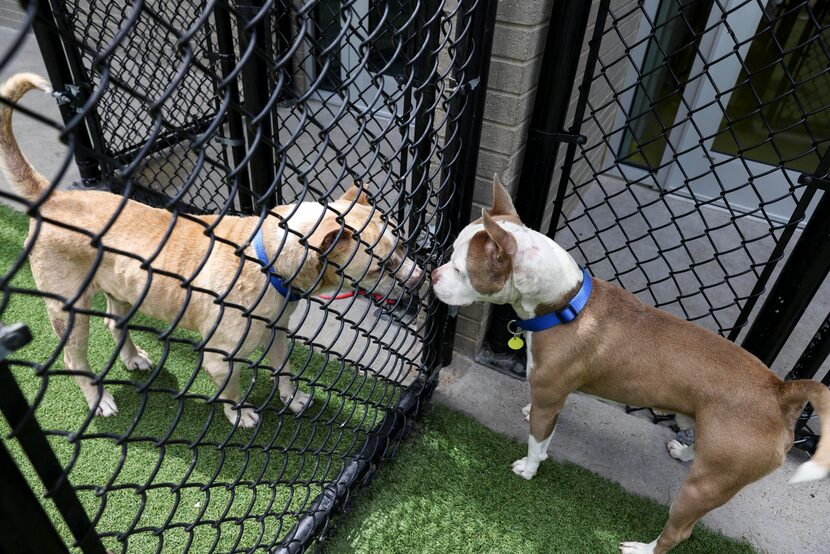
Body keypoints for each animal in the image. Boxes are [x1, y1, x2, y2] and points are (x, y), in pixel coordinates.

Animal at [0, 72, 426, 426]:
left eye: (402, 245)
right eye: (380, 267)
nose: (421, 278)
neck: (268, 257)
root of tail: (55, 197)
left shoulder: (279, 333)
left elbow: (285, 369)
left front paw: (293, 399)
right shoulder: (221, 357)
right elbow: (231, 388)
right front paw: (240, 414)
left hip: (120, 289)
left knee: (114, 322)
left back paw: (133, 357)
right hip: (67, 312)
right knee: (73, 357)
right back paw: (98, 399)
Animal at [432, 175, 828, 548]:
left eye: (460, 269)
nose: (434, 274)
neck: (563, 304)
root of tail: (780, 390)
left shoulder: (549, 396)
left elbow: (537, 442)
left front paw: (528, 468)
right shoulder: (552, 397)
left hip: (703, 489)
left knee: (678, 531)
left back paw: (643, 548)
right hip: (716, 455)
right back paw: (683, 451)